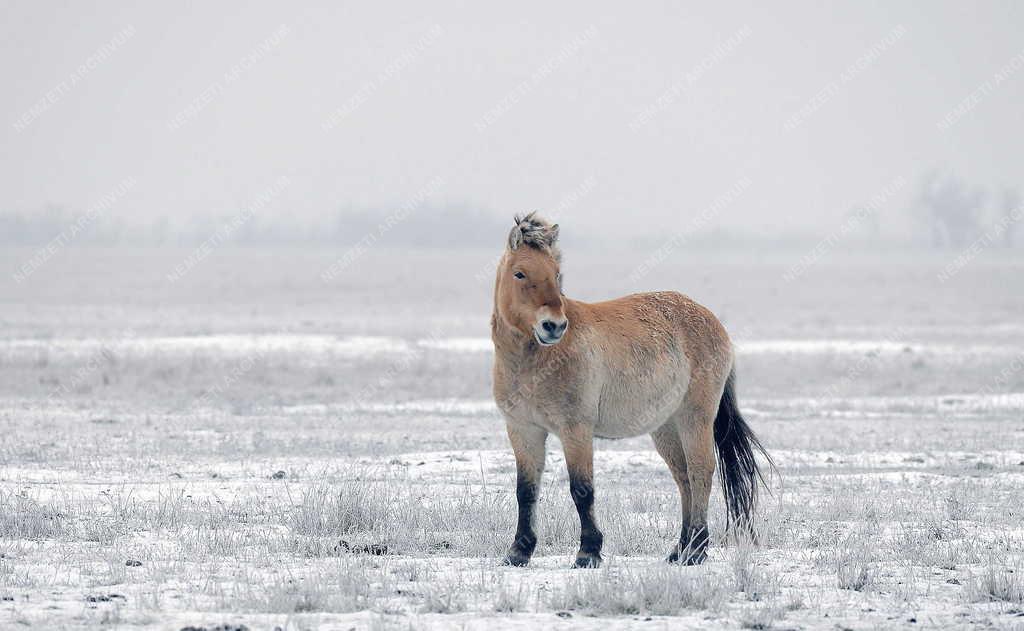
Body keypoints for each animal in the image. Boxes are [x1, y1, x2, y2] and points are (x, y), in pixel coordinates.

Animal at [491, 214, 770, 569]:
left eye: (556, 274)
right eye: (520, 273)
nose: (553, 326)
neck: (535, 362)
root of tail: (712, 321)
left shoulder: (576, 429)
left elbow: (582, 489)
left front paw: (588, 552)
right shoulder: (522, 430)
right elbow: (525, 491)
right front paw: (518, 552)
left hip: (695, 417)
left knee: (700, 472)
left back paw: (696, 550)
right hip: (666, 428)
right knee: (683, 478)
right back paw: (680, 549)